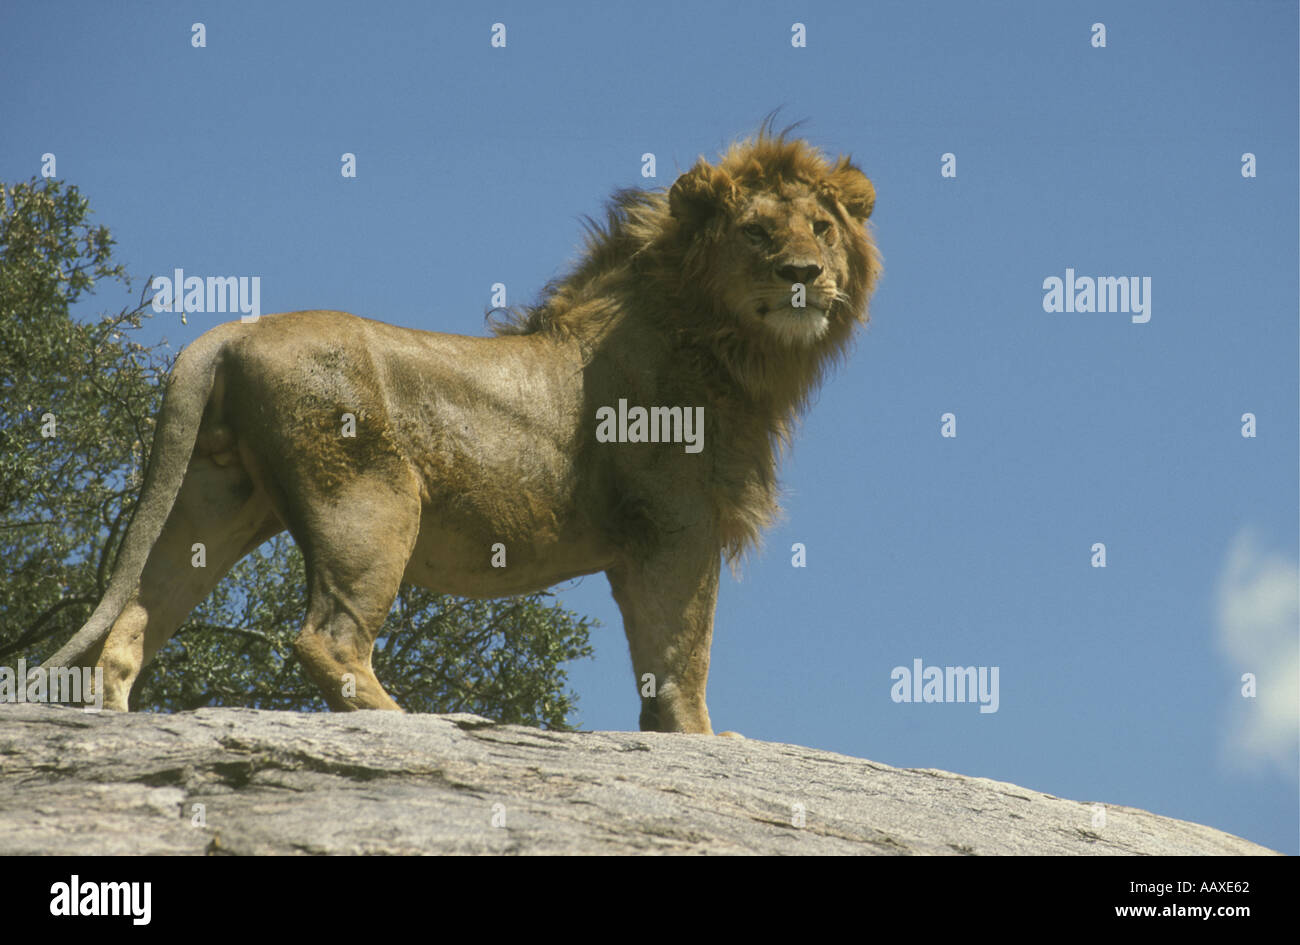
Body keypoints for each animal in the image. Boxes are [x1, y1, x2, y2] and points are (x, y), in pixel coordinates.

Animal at [48, 124, 883, 733]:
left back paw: (116, 723)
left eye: (820, 227)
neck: (732, 346)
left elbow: (660, 659)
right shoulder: (676, 525)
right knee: (326, 636)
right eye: (756, 233)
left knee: (134, 622)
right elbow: (683, 652)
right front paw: (702, 738)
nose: (804, 274)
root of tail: (228, 332)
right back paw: (408, 720)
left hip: (213, 500)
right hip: (369, 503)